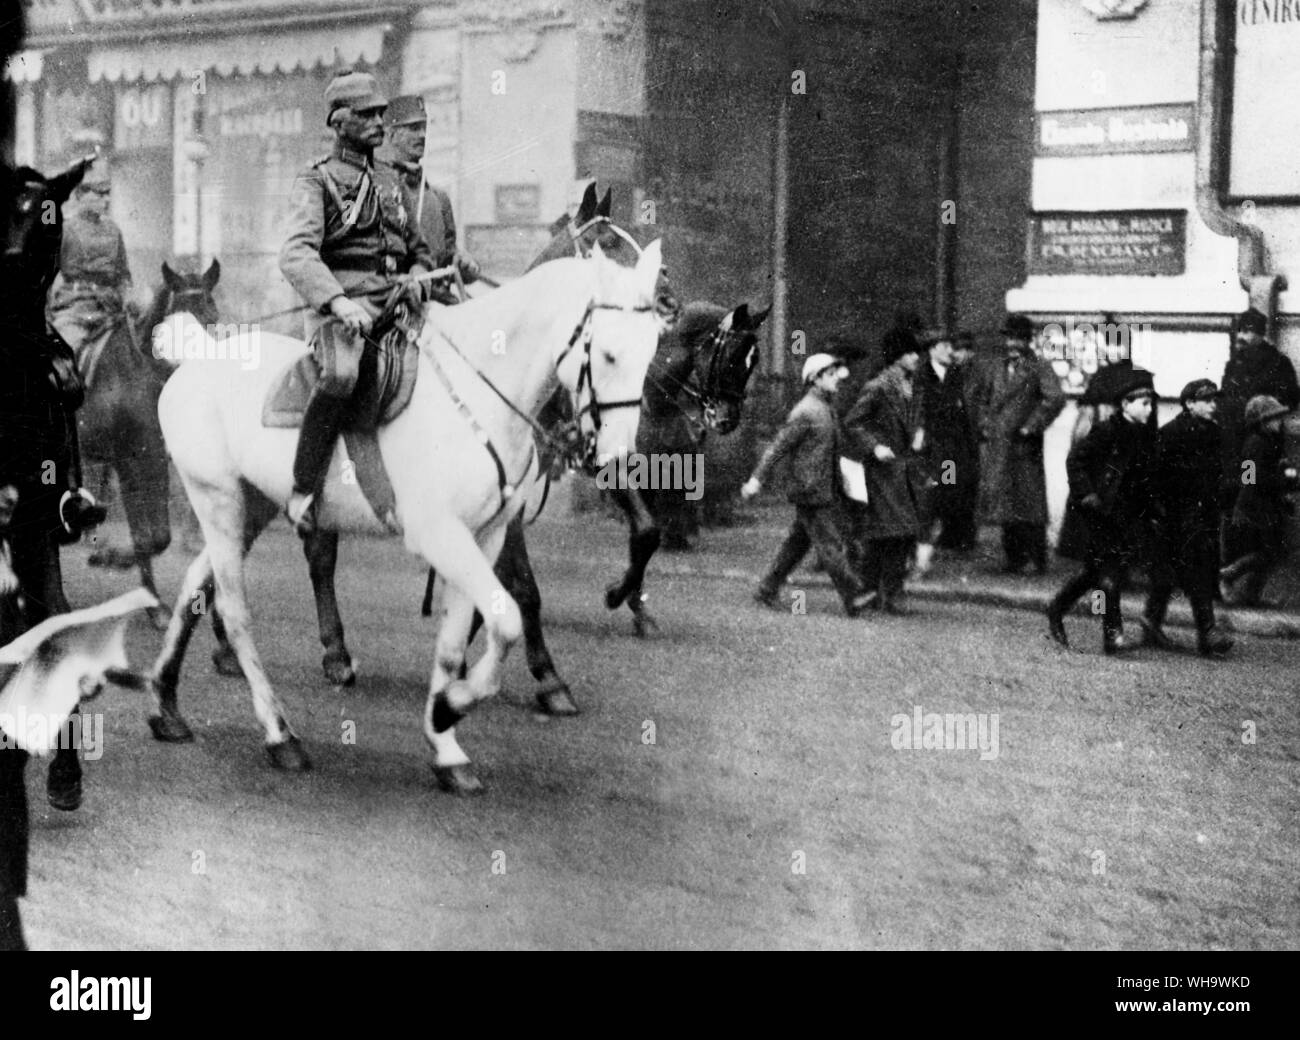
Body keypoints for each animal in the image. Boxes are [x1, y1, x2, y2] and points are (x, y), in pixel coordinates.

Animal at [147, 244, 665, 790]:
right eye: (608, 353)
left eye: (651, 350)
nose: (617, 456)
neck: (478, 389)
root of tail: (198, 357)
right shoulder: (441, 535)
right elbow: (505, 622)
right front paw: (450, 707)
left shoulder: (485, 536)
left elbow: (456, 641)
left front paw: (447, 747)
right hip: (218, 501)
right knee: (234, 612)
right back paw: (279, 734)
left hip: (253, 506)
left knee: (194, 587)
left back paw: (165, 705)